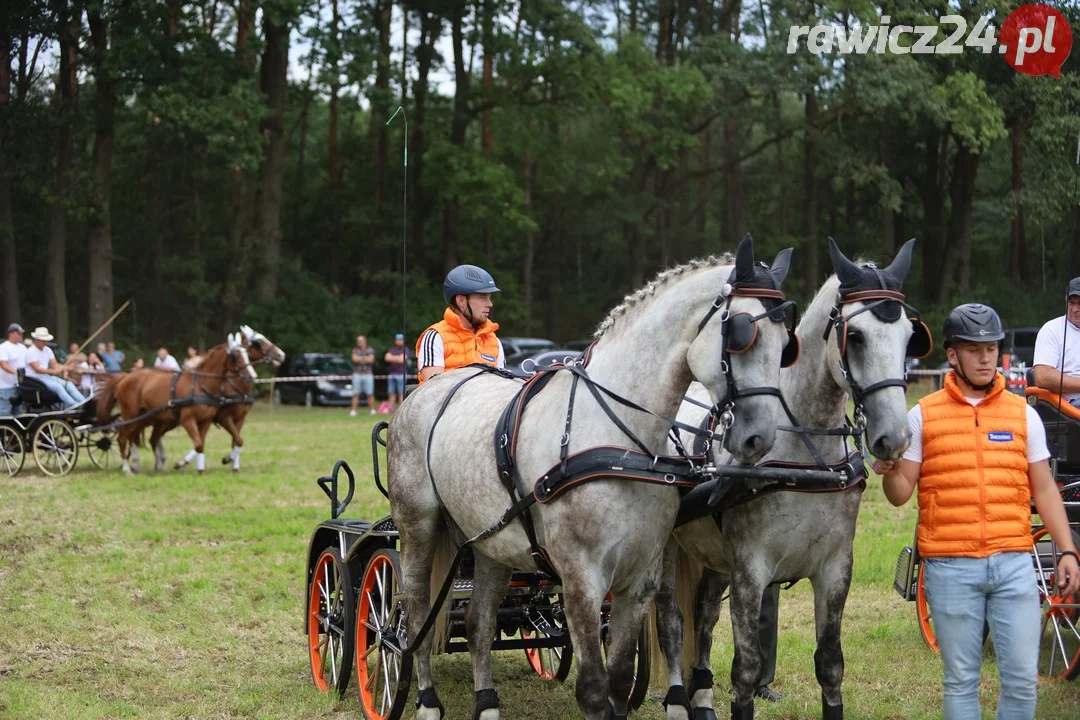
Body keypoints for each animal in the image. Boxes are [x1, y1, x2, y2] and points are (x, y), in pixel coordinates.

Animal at [95, 334, 254, 474]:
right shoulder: (190, 419)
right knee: (122, 438)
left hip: (147, 418)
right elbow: (198, 444)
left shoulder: (206, 421)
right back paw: (127, 468)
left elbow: (207, 444)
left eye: (247, 353)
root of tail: (124, 377)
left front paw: (203, 468)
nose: (250, 376)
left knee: (138, 437)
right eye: (235, 356)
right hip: (131, 415)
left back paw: (142, 465)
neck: (201, 385)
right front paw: (182, 464)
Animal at [388, 237, 794, 720]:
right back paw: (426, 701)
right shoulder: (581, 580)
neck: (618, 440)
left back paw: (486, 703)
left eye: (787, 344)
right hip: (418, 526)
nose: (759, 436)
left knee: (478, 623)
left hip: (490, 543)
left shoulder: (638, 579)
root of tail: (425, 391)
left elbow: (618, 678)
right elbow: (594, 689)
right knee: (416, 616)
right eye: (743, 333)